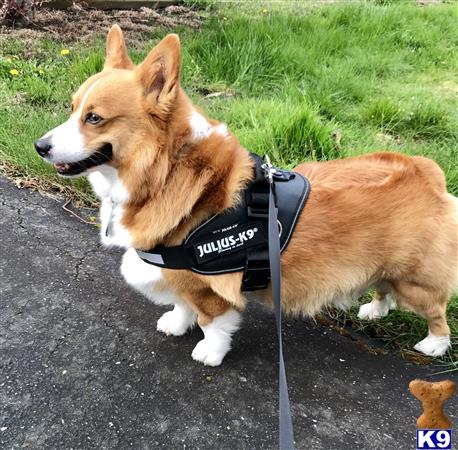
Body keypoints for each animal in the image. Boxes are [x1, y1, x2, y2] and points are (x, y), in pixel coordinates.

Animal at [35, 25, 458, 366]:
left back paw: (434, 345)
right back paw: (374, 309)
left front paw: (210, 352)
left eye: (94, 118)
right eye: (72, 108)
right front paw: (176, 323)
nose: (40, 146)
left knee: (436, 311)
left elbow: (211, 321)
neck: (166, 173)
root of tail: (428, 172)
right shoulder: (177, 276)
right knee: (384, 288)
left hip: (416, 281)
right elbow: (181, 303)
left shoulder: (210, 286)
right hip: (387, 268)